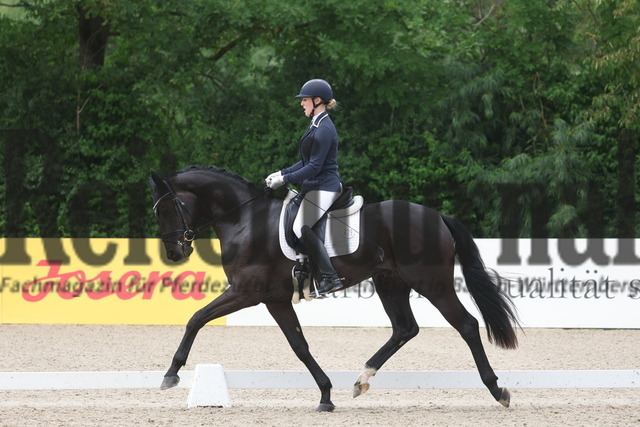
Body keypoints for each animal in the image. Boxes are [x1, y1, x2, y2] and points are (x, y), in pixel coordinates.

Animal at [150, 166, 520, 412]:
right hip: (390, 281)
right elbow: (299, 346)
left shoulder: (246, 292)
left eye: (168, 208)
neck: (244, 220)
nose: (175, 253)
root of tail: (438, 216)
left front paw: (171, 375)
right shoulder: (275, 300)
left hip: (431, 282)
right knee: (404, 328)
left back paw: (497, 390)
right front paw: (326, 396)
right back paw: (361, 380)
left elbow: (196, 319)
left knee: (467, 325)